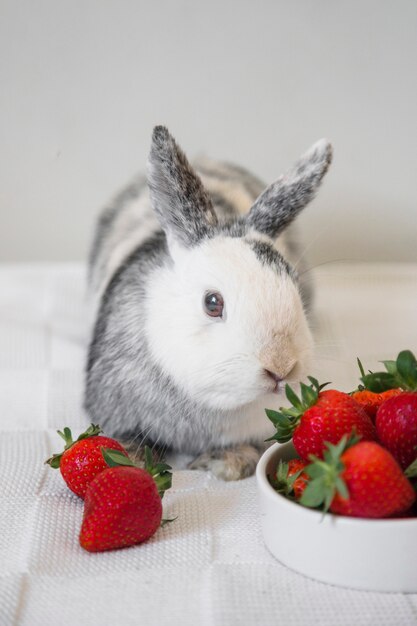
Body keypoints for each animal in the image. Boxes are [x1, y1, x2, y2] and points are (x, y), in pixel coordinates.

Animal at [84, 125, 332, 478]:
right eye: (212, 303)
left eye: (293, 283)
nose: (281, 367)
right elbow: (128, 439)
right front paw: (129, 458)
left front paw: (226, 463)